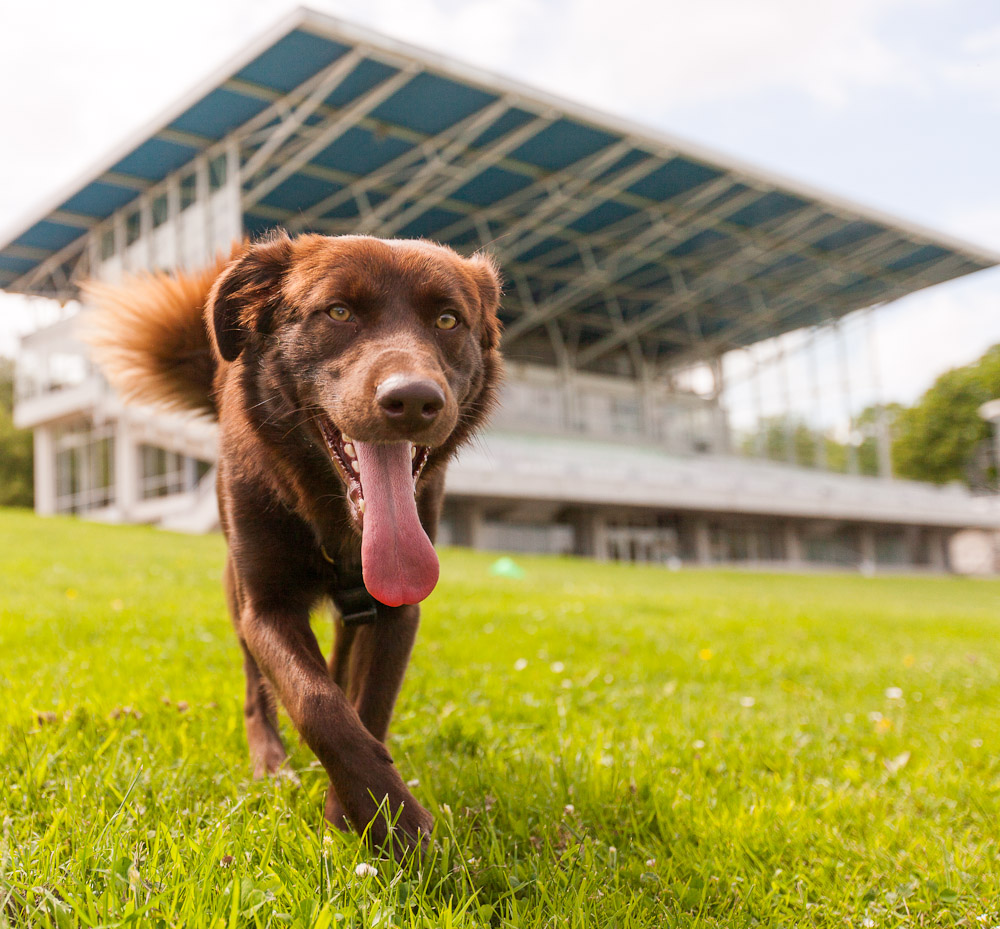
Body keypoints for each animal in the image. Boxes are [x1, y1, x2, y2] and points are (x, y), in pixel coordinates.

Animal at [85, 234, 504, 856]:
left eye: (449, 320)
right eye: (339, 312)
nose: (413, 400)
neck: (333, 520)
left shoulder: (396, 610)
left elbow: (367, 705)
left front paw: (358, 815)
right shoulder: (266, 606)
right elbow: (316, 703)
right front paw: (394, 824)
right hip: (236, 593)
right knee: (259, 689)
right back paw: (271, 765)